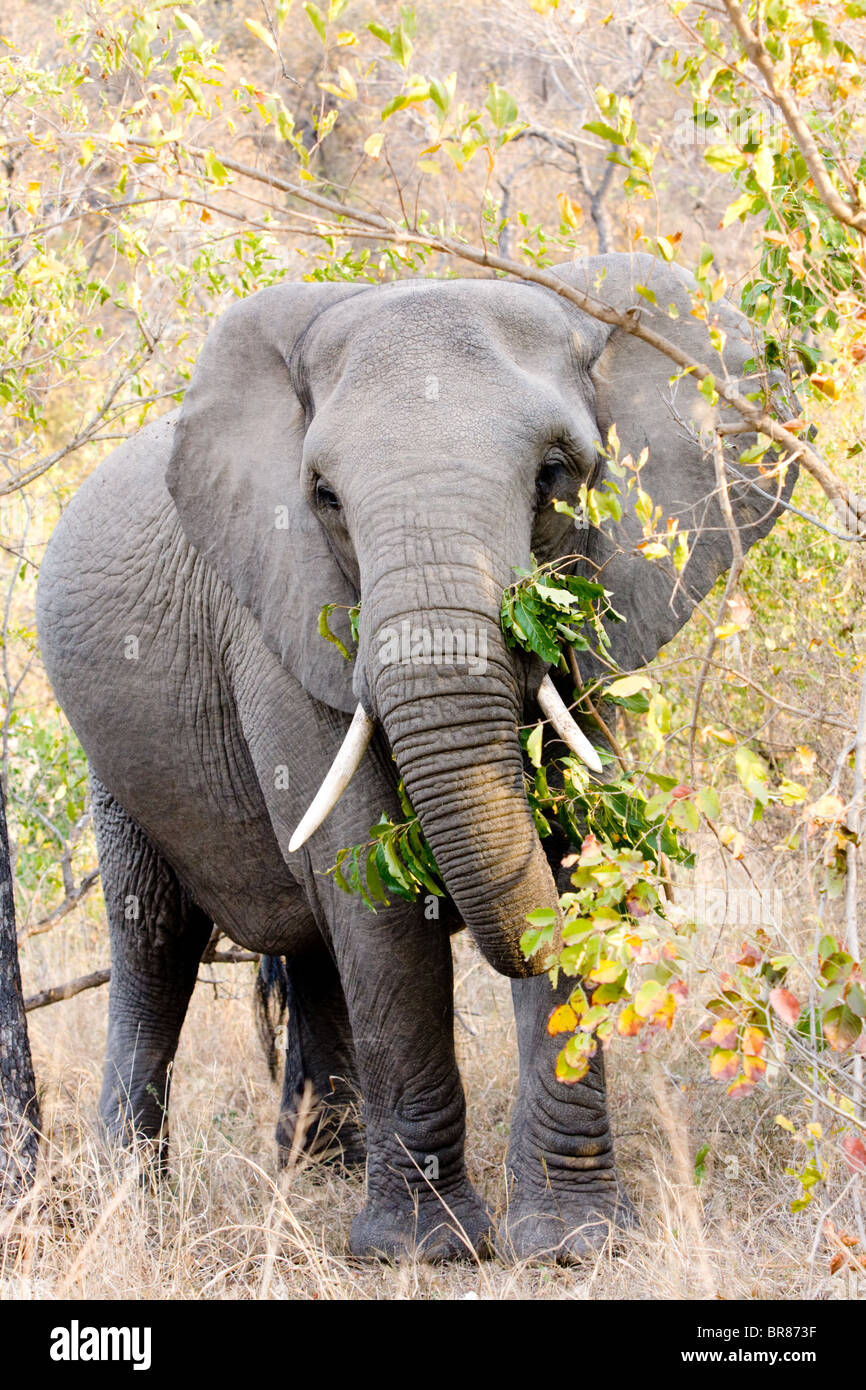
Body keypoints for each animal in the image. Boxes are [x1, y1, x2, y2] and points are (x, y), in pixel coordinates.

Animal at [36, 252, 795, 1262]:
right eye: (323, 498)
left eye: (557, 476)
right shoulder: (279, 619)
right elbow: (378, 896)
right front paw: (423, 1253)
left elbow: (570, 858)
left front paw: (572, 1244)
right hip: (116, 762)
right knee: (156, 941)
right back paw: (139, 1209)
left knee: (308, 949)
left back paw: (324, 1170)